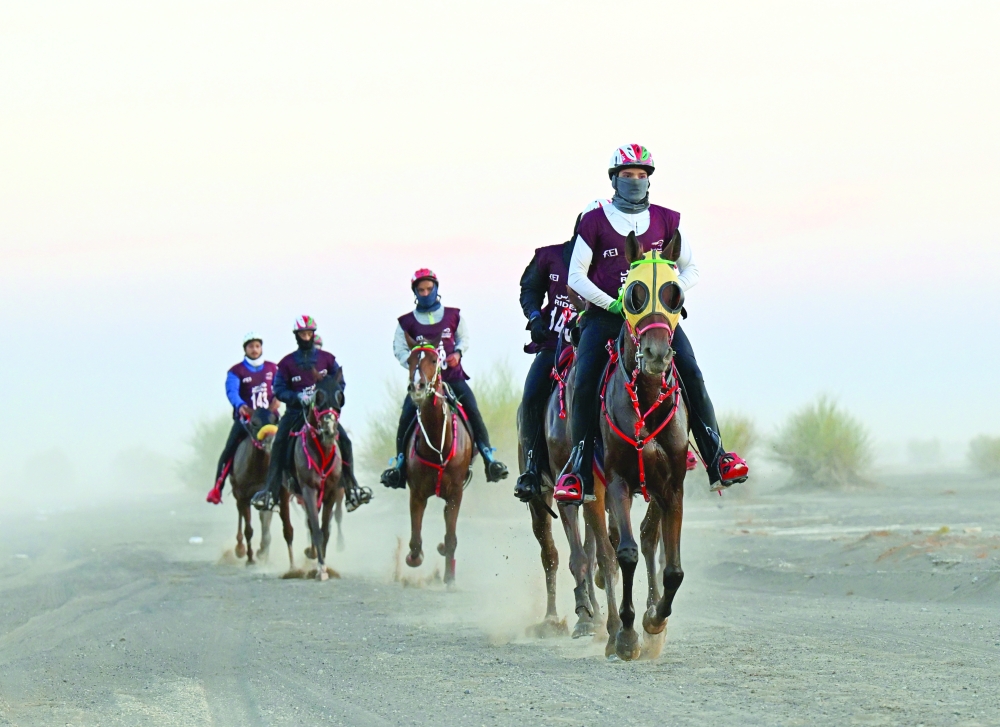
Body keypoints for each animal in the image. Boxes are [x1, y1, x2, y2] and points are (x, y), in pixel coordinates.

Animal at [227, 408, 279, 565]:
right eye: (254, 423)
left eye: (276, 420)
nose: (270, 441)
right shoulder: (243, 496)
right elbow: (248, 530)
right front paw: (250, 559)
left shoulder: (266, 495)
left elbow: (266, 527)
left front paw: (262, 553)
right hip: (237, 493)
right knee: (240, 512)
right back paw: (240, 549)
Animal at [278, 375, 346, 581]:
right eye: (318, 396)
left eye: (340, 396)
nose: (329, 431)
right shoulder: (308, 490)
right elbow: (315, 528)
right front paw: (321, 569)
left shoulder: (331, 493)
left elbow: (324, 530)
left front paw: (320, 562)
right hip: (285, 492)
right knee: (289, 530)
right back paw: (294, 567)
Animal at [401, 334, 474, 585]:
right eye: (410, 360)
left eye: (434, 360)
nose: (417, 387)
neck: (437, 446)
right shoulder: (416, 493)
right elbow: (414, 541)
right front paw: (414, 557)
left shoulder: (455, 494)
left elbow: (451, 537)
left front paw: (449, 577)